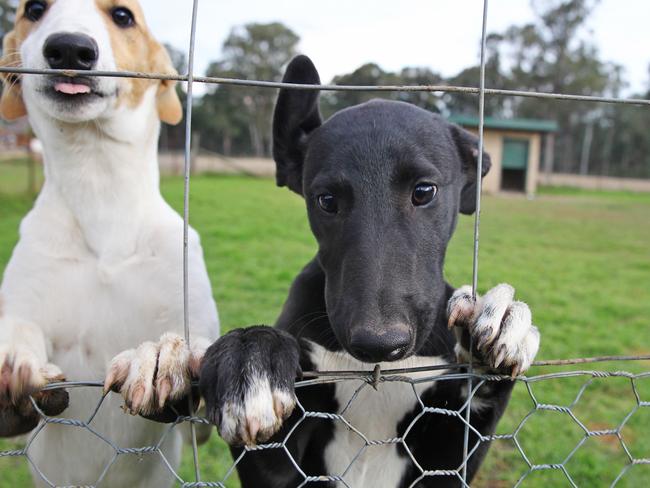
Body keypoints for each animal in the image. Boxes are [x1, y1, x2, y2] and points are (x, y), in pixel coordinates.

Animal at [0, 1, 218, 486]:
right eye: (34, 9)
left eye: (122, 15)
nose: (68, 48)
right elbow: (18, 328)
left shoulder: (202, 421)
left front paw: (159, 356)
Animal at [199, 55, 536, 486]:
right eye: (326, 200)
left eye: (424, 191)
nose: (380, 343)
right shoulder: (279, 469)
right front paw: (250, 356)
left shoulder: (446, 468)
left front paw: (503, 322)